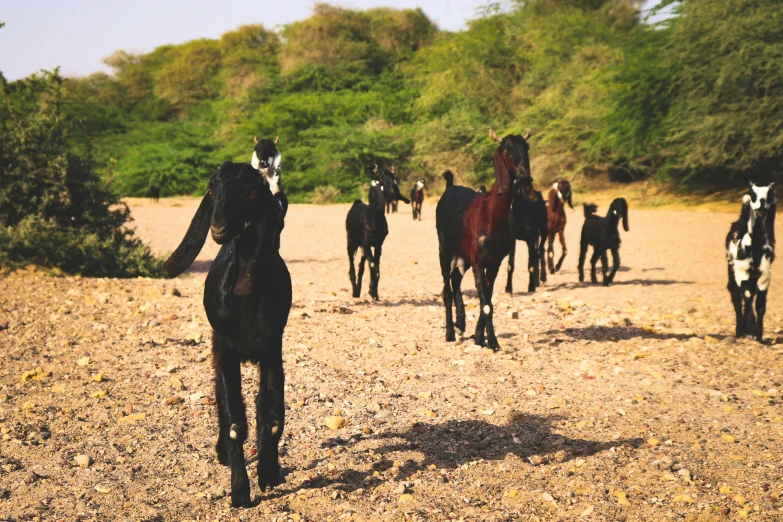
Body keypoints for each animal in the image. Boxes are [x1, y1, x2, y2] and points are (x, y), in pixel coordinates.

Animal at [164, 161, 292, 504]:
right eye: (211, 189)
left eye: (251, 192)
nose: (218, 229)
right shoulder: (228, 349)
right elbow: (234, 419)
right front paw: (240, 491)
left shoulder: (272, 349)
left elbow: (272, 416)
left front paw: (268, 472)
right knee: (220, 395)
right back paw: (222, 451)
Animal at [348, 165, 410, 298]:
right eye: (380, 178)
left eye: (394, 178)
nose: (392, 192)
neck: (374, 218)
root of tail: (357, 202)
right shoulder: (367, 242)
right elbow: (373, 265)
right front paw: (372, 291)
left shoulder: (378, 245)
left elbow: (376, 267)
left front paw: (374, 293)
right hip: (351, 242)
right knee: (352, 266)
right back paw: (355, 292)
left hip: (362, 248)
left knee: (361, 266)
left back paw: (359, 291)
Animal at [728, 181, 776, 340]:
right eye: (753, 194)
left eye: (769, 194)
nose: (761, 208)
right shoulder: (741, 271)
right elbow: (747, 296)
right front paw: (750, 329)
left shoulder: (764, 275)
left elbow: (761, 304)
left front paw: (758, 334)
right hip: (732, 272)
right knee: (736, 296)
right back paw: (740, 330)